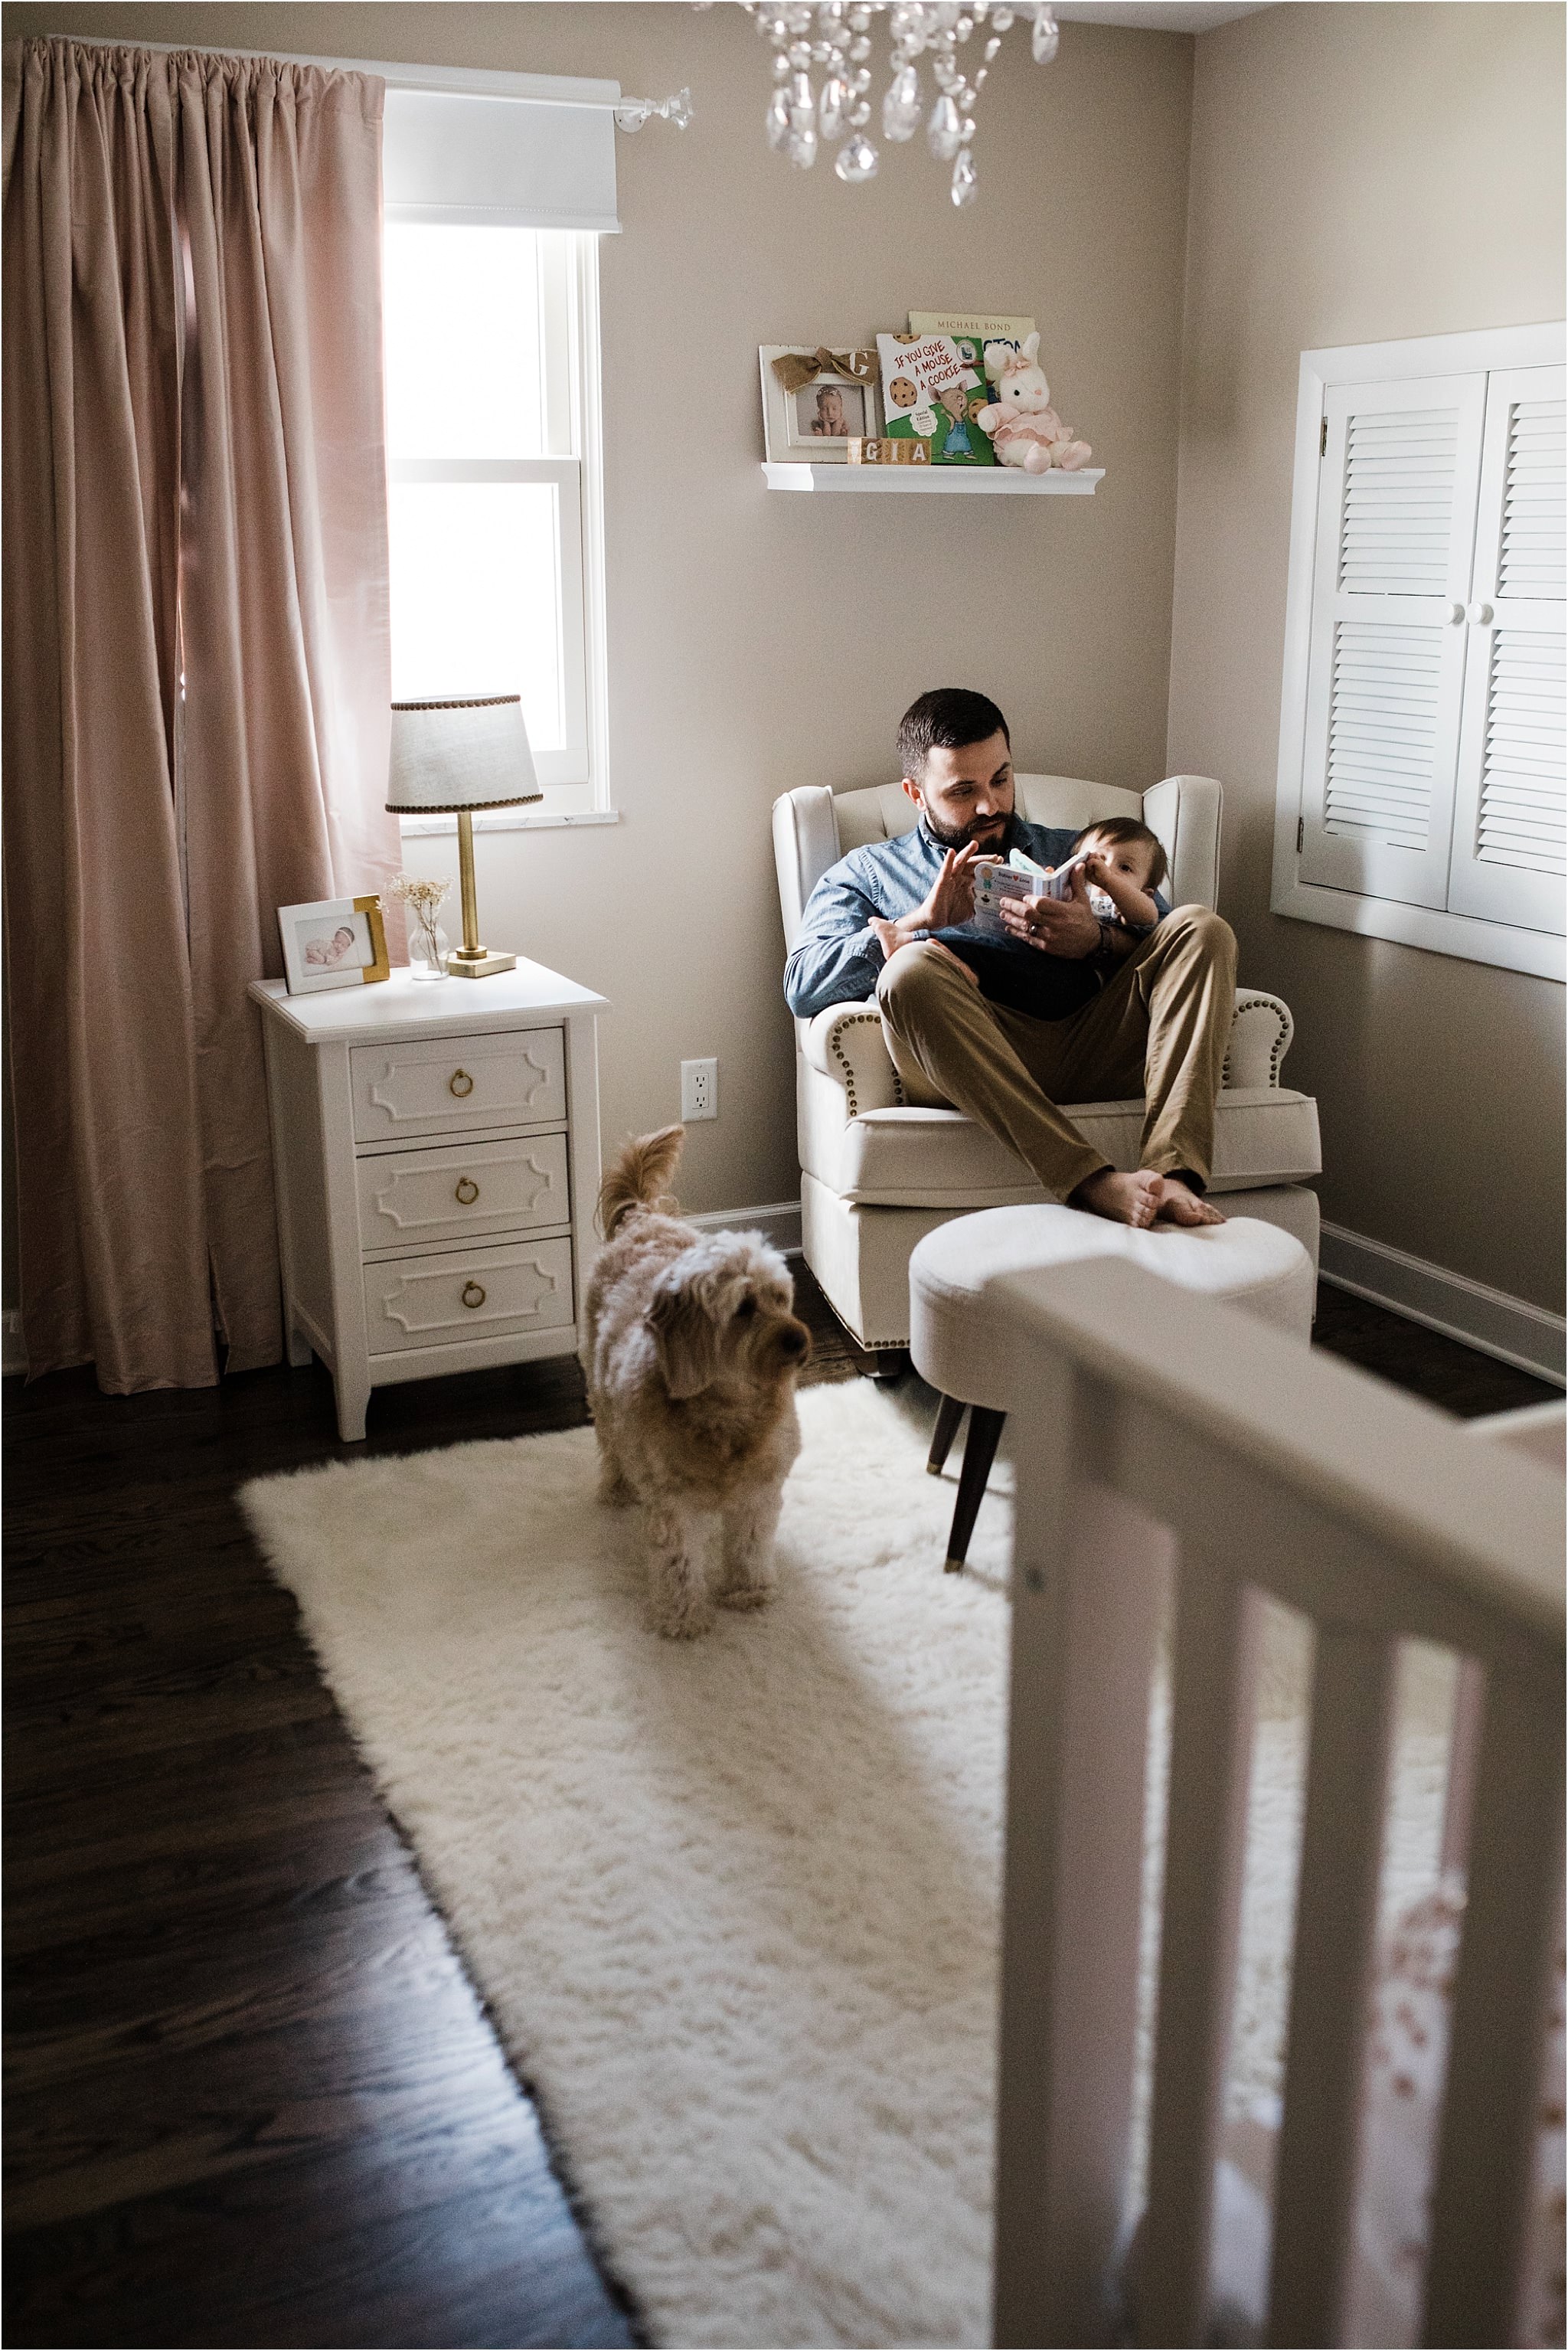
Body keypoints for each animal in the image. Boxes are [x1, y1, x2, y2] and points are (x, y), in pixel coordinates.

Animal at [585, 1119, 808, 1636]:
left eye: (781, 1297)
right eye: (744, 1309)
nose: (800, 1340)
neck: (728, 1414)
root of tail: (643, 1216)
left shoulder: (758, 1494)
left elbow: (749, 1547)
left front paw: (749, 1592)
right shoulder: (674, 1505)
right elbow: (680, 1563)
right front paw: (684, 1619)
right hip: (599, 1390)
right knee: (611, 1442)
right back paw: (618, 1489)